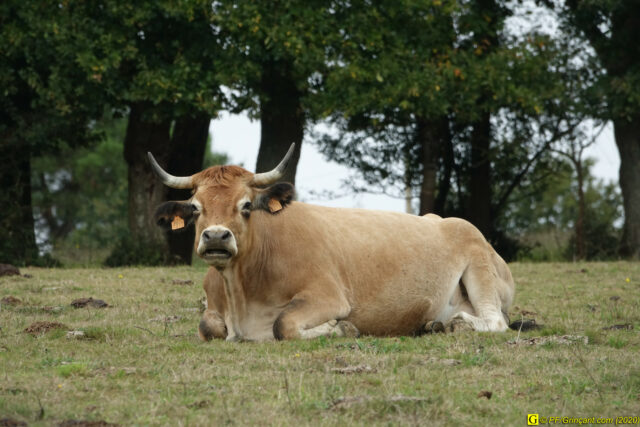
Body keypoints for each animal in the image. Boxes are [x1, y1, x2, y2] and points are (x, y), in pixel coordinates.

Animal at [148, 144, 515, 341]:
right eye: (196, 208)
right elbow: (207, 324)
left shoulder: (328, 295)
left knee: (496, 321)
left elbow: (284, 324)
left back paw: (456, 324)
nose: (216, 236)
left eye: (247, 205)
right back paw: (434, 324)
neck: (241, 292)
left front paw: (342, 329)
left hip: (477, 262)